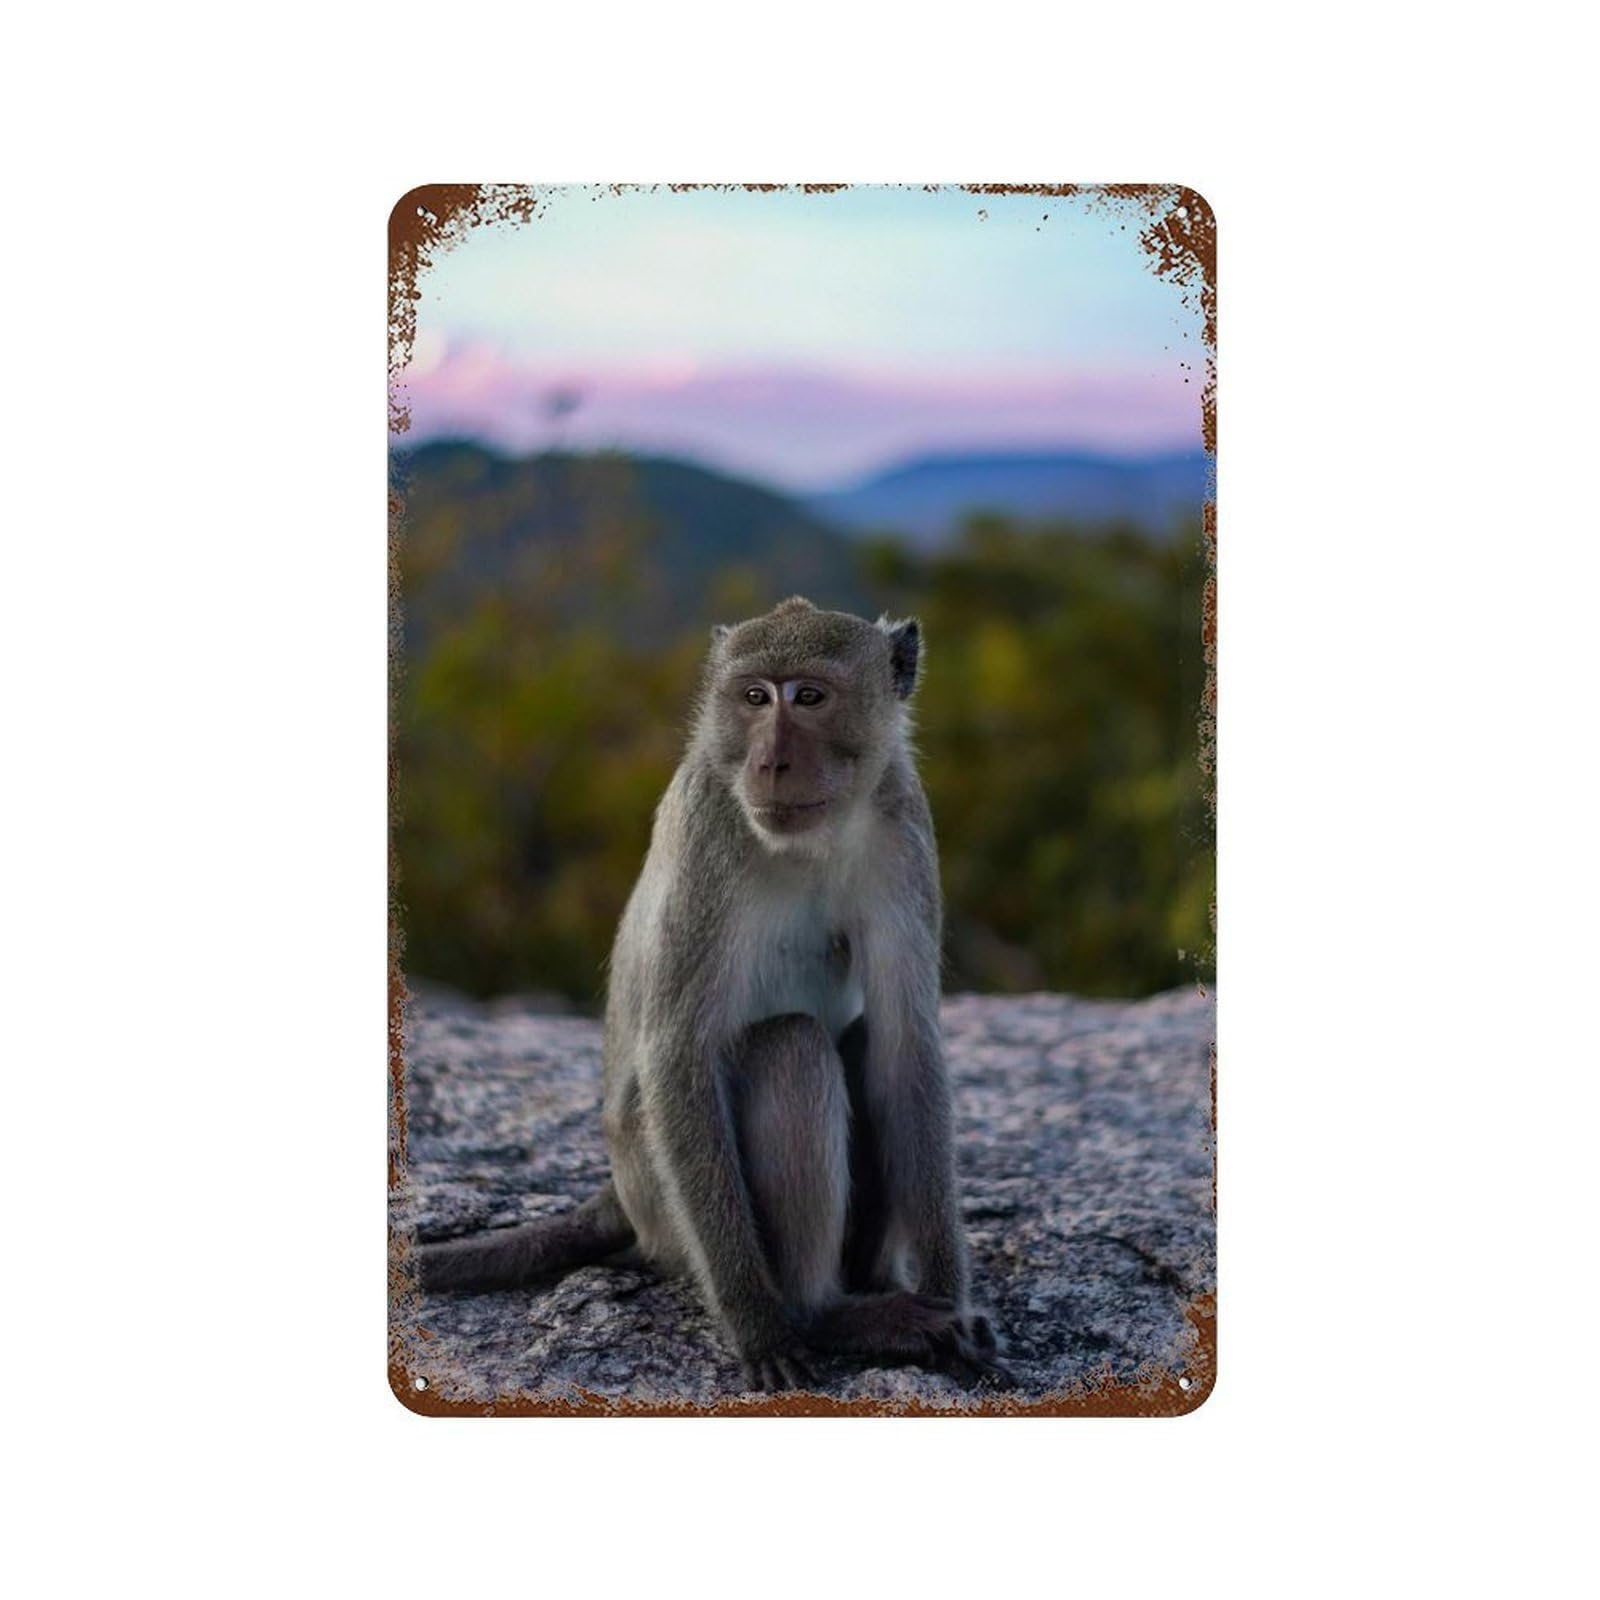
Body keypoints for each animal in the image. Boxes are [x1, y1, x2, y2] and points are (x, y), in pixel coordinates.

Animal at [416, 597, 1009, 1392]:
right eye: (755, 697)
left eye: (809, 697)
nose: (770, 761)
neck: (809, 841)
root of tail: (620, 1192)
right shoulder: (709, 831)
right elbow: (678, 1056)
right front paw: (757, 1324)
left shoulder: (902, 826)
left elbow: (905, 1046)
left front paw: (953, 1303)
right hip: (661, 1196)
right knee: (791, 1046)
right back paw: (826, 1314)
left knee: (855, 1041)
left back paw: (875, 1287)